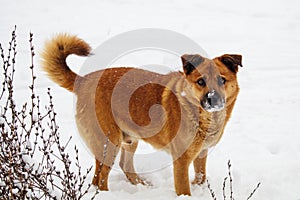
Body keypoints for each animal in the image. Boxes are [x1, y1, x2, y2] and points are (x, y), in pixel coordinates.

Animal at [41, 34, 241, 195]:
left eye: (222, 80)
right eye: (200, 81)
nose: (213, 100)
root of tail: (83, 81)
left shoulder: (201, 154)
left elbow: (200, 178)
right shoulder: (181, 160)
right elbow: (184, 189)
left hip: (129, 139)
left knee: (125, 165)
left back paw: (142, 185)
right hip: (109, 142)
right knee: (100, 178)